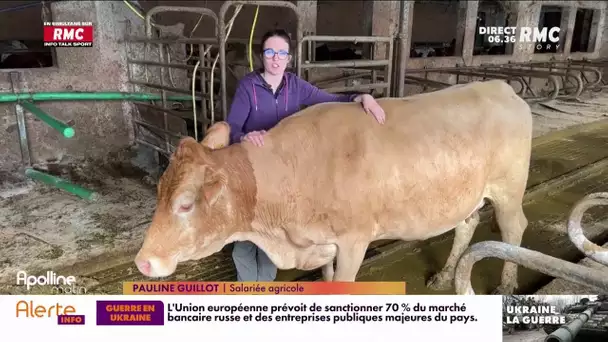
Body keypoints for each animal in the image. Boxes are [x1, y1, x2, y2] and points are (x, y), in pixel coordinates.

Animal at [134, 79, 532, 294]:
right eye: (158, 193)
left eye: (185, 204)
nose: (142, 262)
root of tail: (499, 86)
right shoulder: (321, 244)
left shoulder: (355, 240)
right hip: (467, 194)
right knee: (467, 224)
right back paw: (446, 275)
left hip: (509, 189)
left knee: (514, 227)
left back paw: (506, 285)